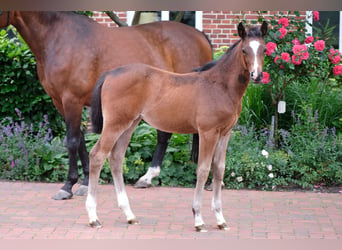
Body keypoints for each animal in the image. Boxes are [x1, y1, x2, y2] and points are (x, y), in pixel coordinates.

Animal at [0, 11, 212, 199]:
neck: (59, 37)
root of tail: (199, 35)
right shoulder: (60, 101)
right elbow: (80, 140)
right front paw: (85, 182)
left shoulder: (72, 99)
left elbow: (72, 141)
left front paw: (67, 186)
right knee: (166, 134)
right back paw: (147, 178)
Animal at [87, 22, 268, 232]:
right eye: (245, 50)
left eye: (264, 49)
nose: (257, 75)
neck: (220, 86)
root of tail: (110, 74)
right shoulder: (207, 132)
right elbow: (203, 170)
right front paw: (198, 219)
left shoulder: (225, 133)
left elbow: (219, 169)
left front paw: (220, 219)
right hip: (115, 124)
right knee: (97, 155)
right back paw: (93, 217)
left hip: (129, 125)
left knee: (116, 158)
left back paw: (129, 215)